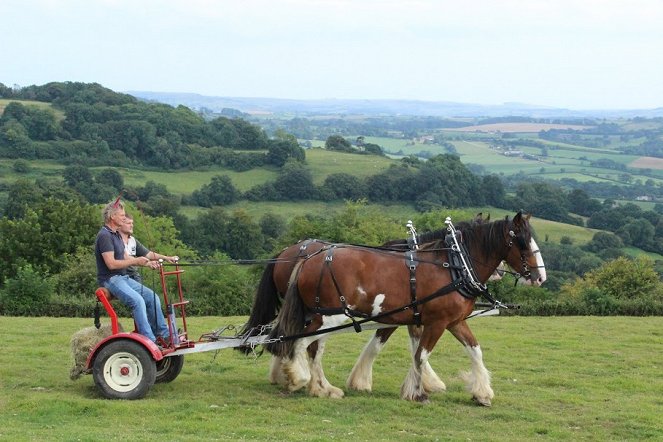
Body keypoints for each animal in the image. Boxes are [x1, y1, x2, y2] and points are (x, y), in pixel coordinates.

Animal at [246, 212, 548, 404]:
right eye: (522, 241)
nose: (540, 277)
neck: (453, 265)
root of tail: (308, 258)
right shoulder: (434, 322)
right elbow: (419, 354)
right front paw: (416, 391)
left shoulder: (449, 320)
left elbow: (474, 351)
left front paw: (482, 393)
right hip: (328, 315)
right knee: (302, 343)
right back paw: (303, 379)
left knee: (298, 341)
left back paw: (314, 385)